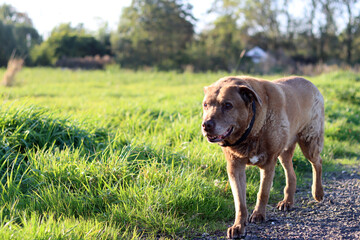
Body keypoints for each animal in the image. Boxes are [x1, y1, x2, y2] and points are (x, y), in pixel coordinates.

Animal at [202, 76, 324, 238]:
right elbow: (239, 202)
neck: (252, 130)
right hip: (285, 152)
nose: (206, 125)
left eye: (228, 105)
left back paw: (318, 192)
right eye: (205, 105)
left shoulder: (269, 163)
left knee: (317, 163)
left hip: (309, 141)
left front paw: (258, 215)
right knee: (291, 174)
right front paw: (238, 226)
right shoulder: (235, 168)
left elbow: (263, 192)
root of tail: (311, 83)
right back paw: (287, 201)